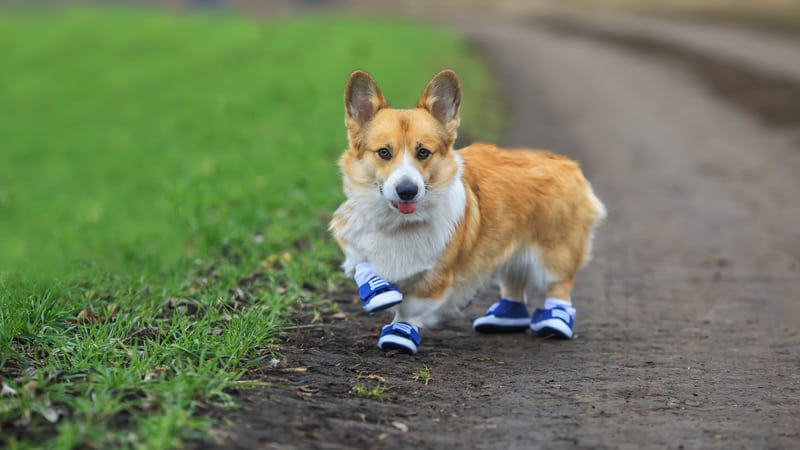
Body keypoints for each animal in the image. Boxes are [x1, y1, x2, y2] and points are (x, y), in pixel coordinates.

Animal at [328, 69, 604, 356]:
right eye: (384, 152)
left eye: (423, 152)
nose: (407, 191)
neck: (397, 224)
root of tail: (566, 162)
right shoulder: (352, 238)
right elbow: (363, 264)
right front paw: (379, 291)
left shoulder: (436, 278)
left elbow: (410, 308)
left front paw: (399, 335)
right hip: (510, 248)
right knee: (515, 282)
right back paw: (503, 318)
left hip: (556, 252)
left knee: (559, 287)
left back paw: (554, 323)